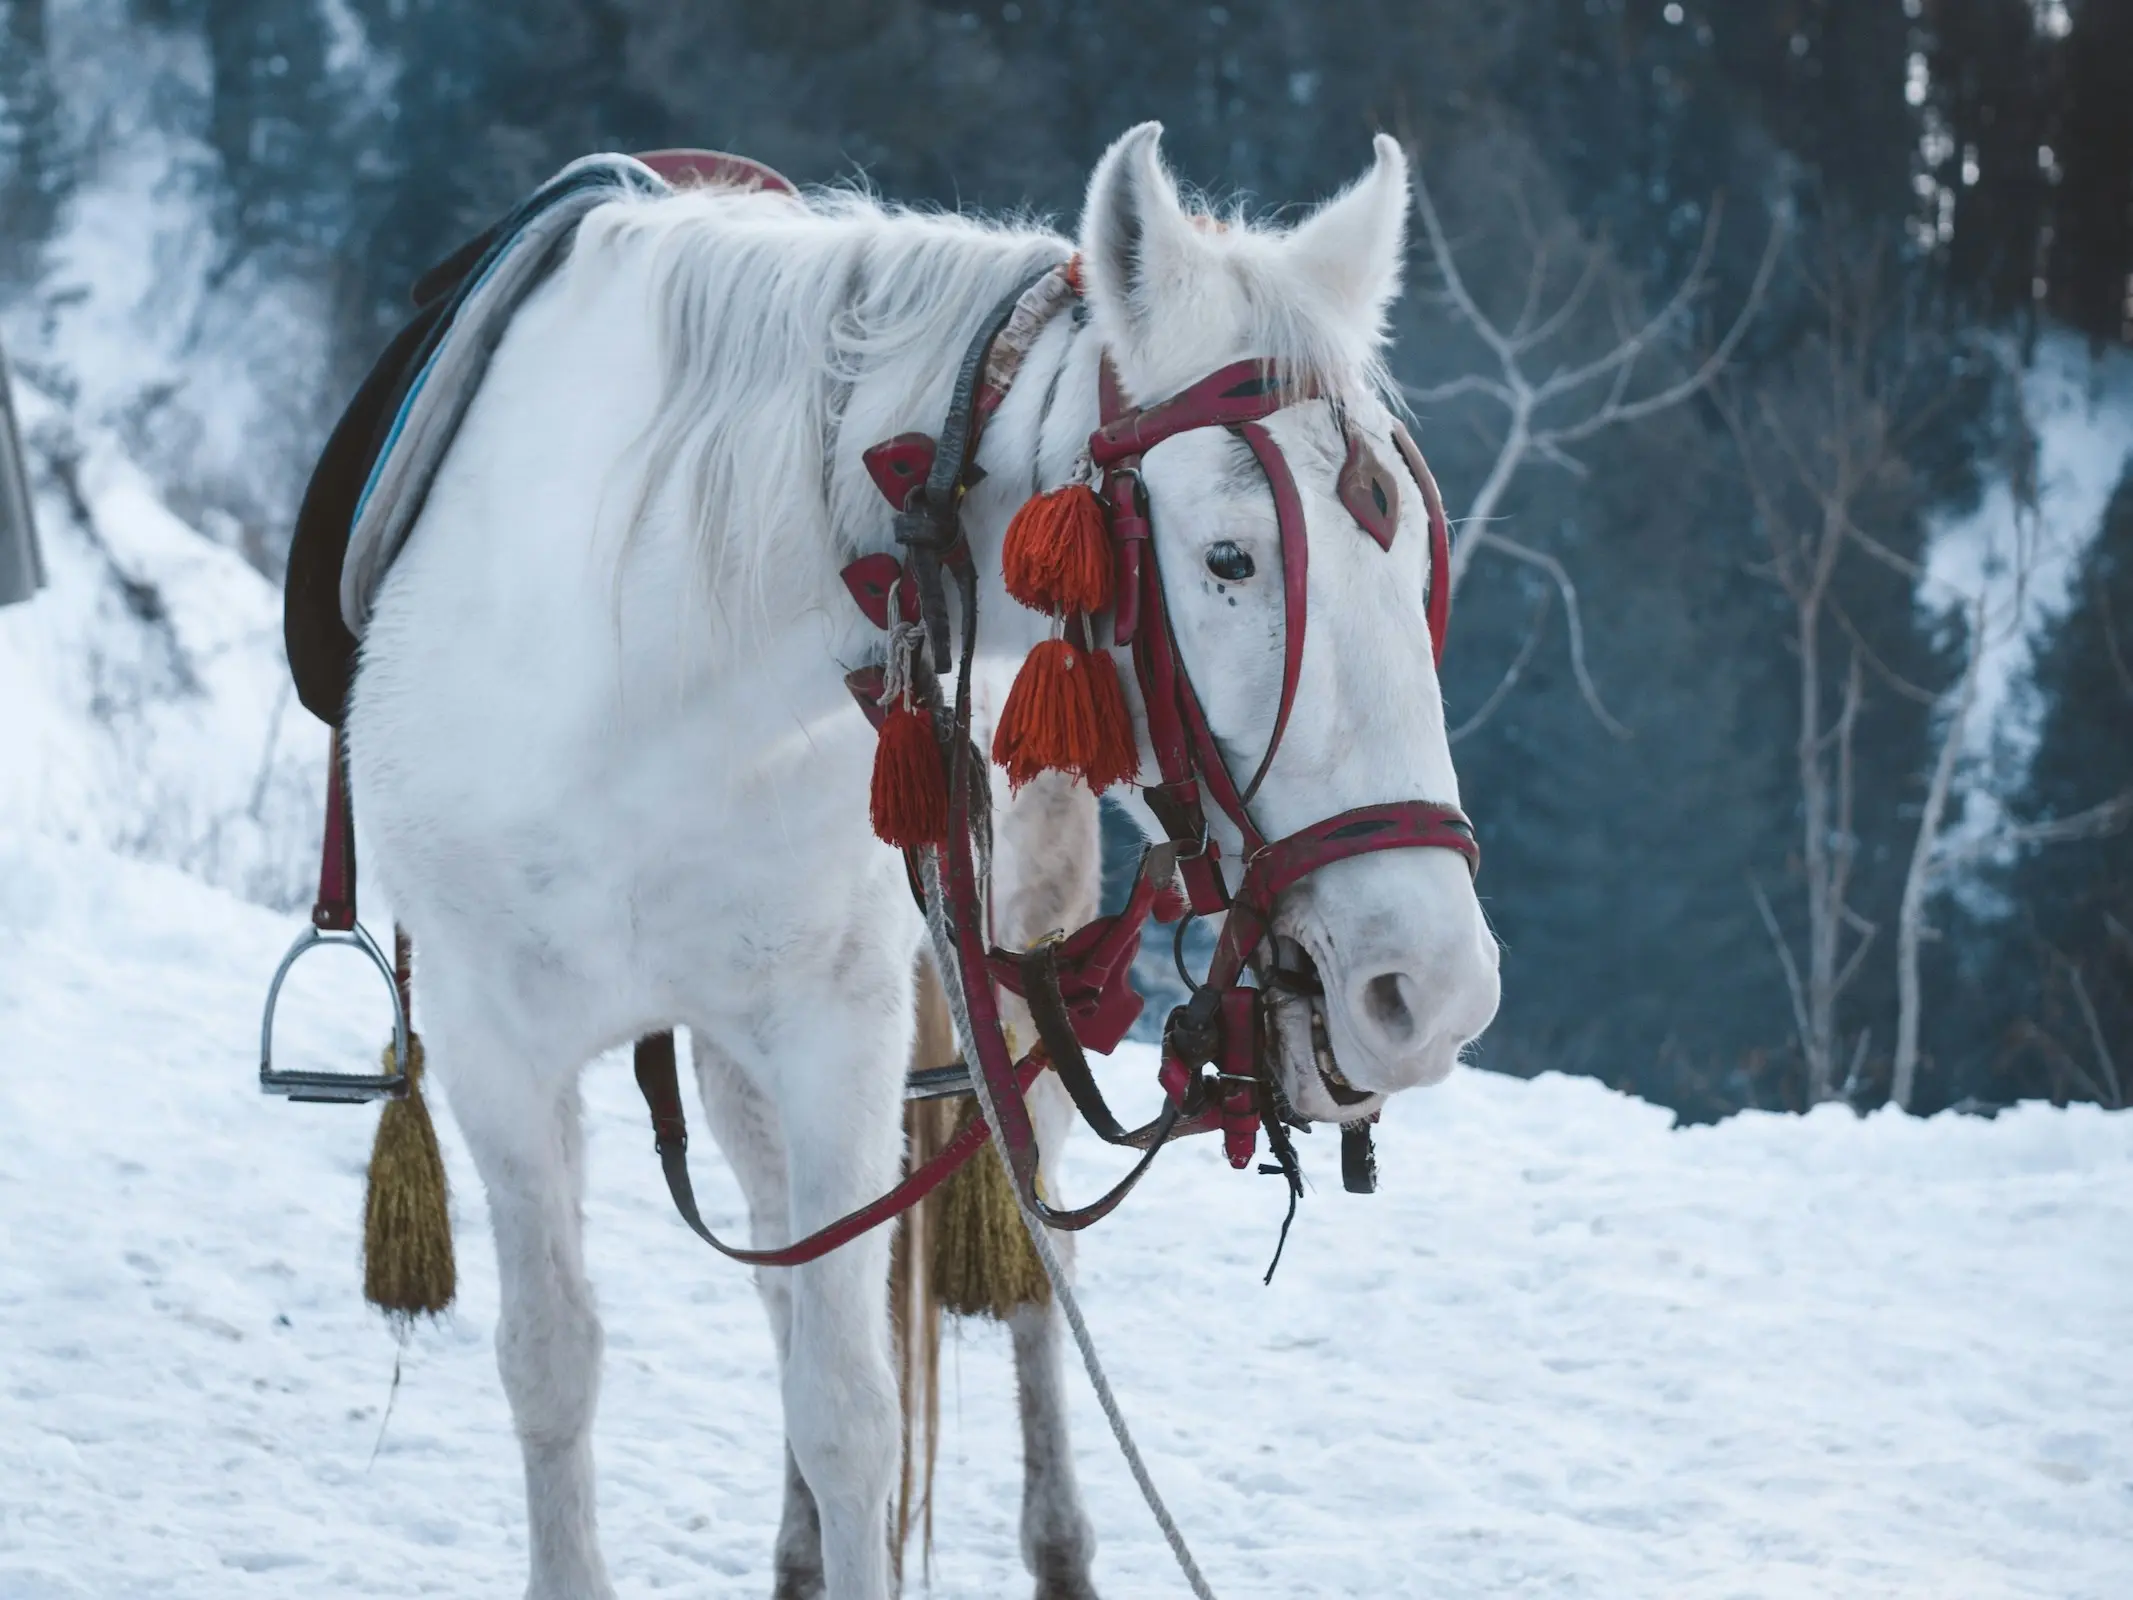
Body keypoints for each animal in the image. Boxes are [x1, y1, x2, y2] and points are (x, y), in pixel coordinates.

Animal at [341, 125, 1493, 1600]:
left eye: (1409, 562)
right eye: (1231, 558)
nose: (1438, 992)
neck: (654, 667)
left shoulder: (837, 1031)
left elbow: (852, 1409)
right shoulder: (494, 1040)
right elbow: (557, 1365)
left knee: (1028, 1268)